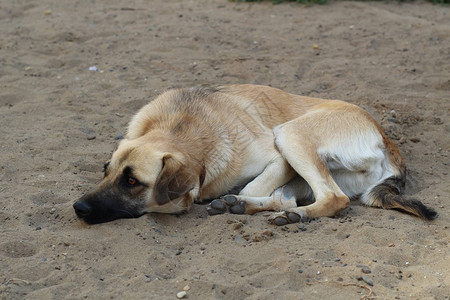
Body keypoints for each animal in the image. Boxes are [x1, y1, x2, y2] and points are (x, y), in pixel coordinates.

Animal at [73, 83, 436, 224]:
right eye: (105, 171)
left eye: (133, 181)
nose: (78, 207)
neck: (183, 126)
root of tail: (387, 139)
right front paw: (234, 201)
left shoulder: (276, 158)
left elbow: (254, 183)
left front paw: (235, 198)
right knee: (290, 198)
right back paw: (257, 207)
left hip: (289, 135)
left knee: (334, 198)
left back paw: (278, 212)